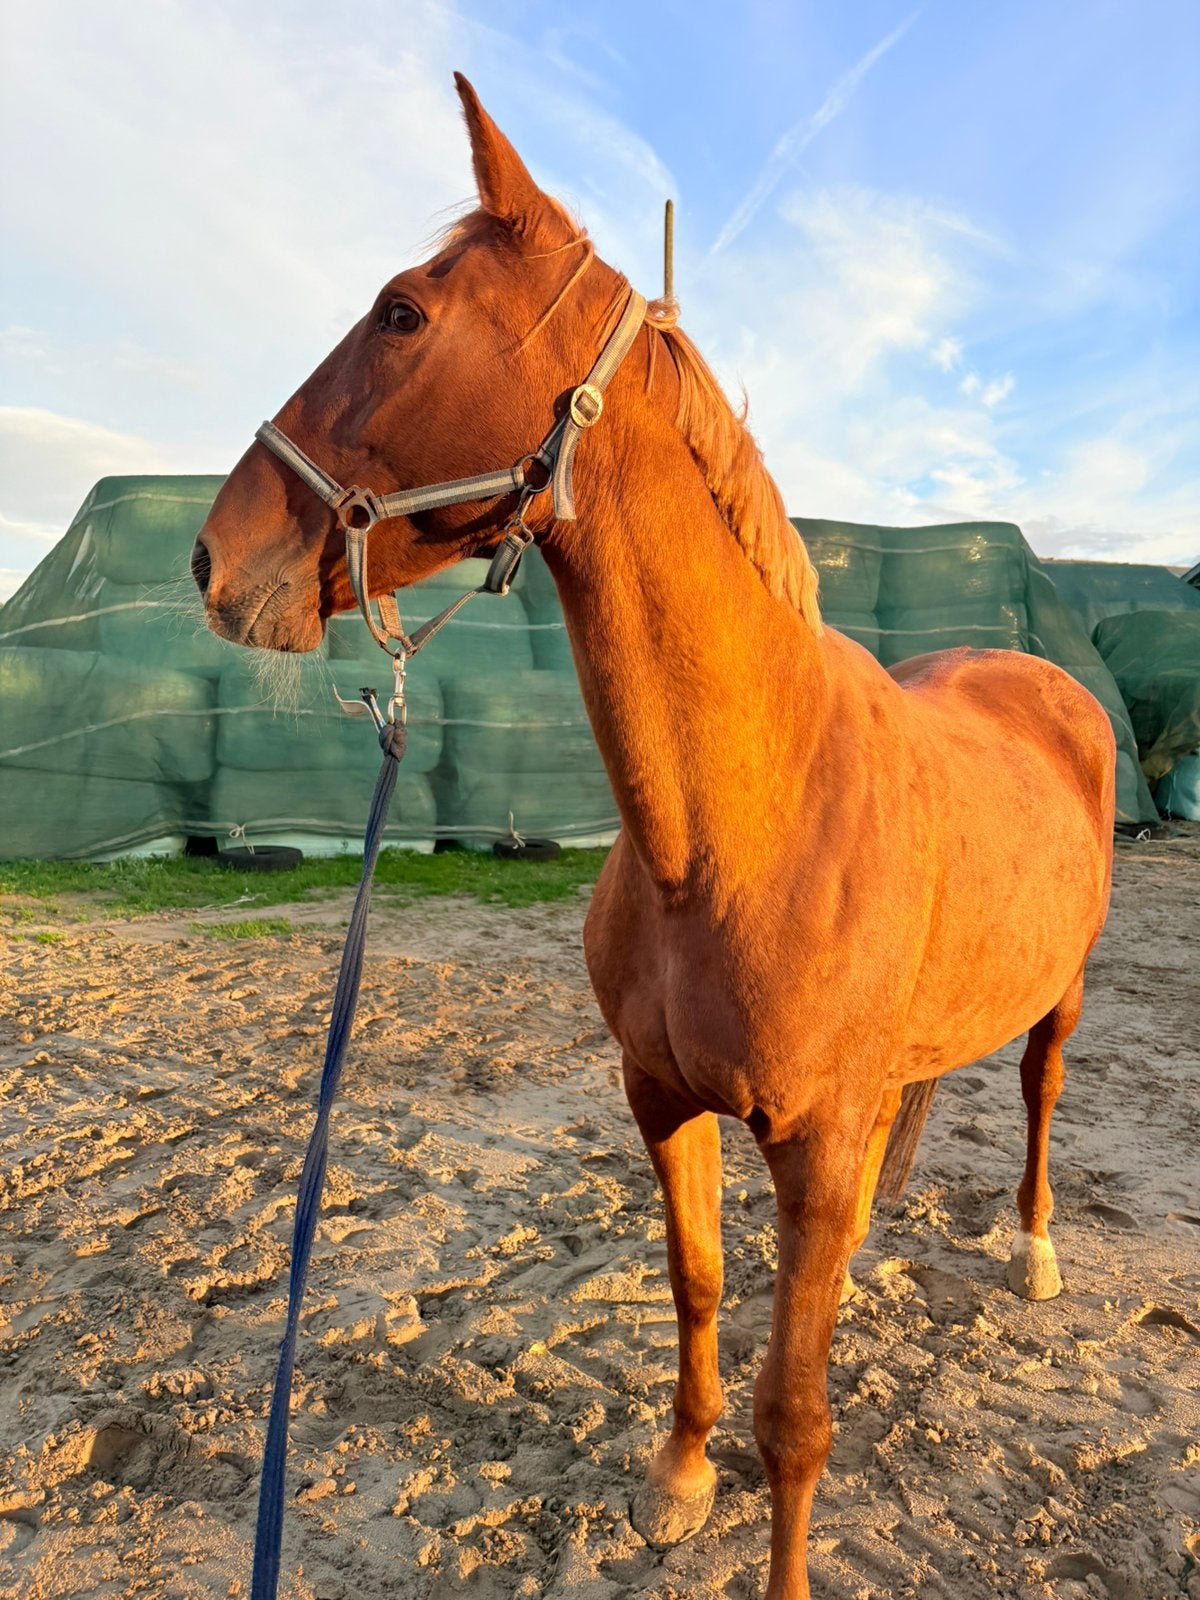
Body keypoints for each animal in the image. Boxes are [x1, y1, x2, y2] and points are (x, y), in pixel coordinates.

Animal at [191, 75, 1115, 1600]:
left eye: (401, 312)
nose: (217, 558)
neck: (741, 832)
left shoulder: (814, 1143)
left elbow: (796, 1415)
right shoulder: (662, 1098)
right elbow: (696, 1286)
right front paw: (678, 1477)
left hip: (1064, 993)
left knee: (1039, 1090)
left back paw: (1035, 1253)